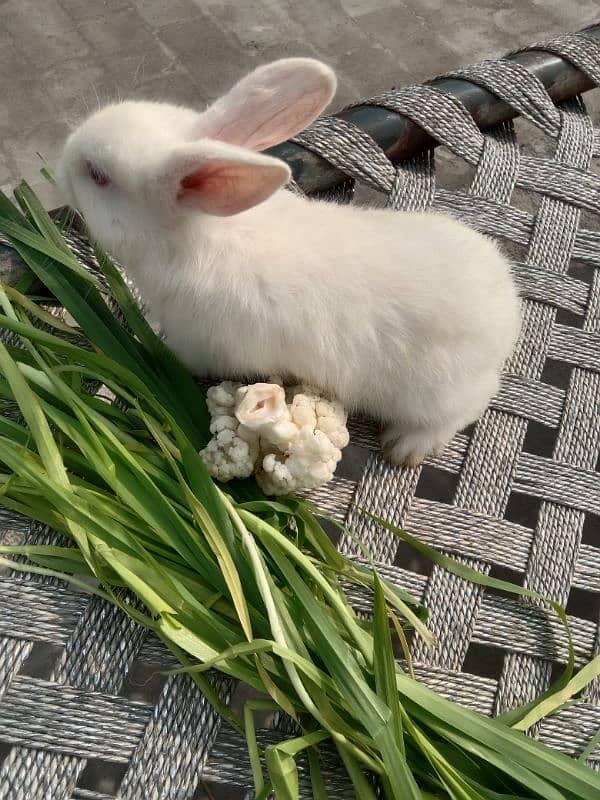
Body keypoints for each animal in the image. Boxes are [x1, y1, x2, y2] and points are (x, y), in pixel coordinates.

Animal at [58, 57, 524, 462]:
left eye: (98, 176)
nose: (64, 159)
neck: (197, 235)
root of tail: (506, 309)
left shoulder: (208, 345)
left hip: (440, 393)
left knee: (465, 408)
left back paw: (406, 446)